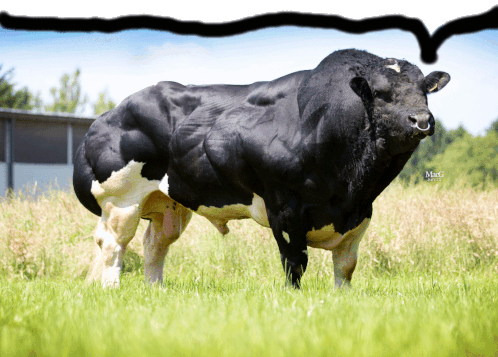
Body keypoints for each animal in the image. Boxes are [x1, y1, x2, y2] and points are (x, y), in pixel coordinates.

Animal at [74, 48, 452, 286]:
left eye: (425, 90)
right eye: (380, 92)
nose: (422, 120)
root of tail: (109, 114)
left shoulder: (361, 213)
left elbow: (345, 267)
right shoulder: (284, 207)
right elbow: (295, 263)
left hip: (171, 203)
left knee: (154, 245)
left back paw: (156, 290)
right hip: (121, 200)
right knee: (114, 244)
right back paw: (111, 288)